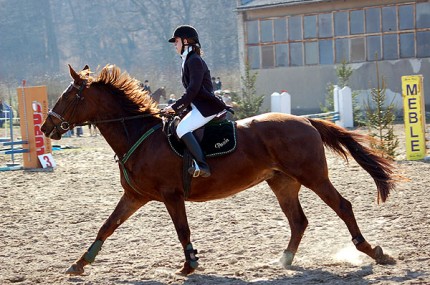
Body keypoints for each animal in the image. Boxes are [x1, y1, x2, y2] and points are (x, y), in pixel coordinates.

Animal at [42, 64, 394, 276]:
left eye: (69, 96)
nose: (47, 127)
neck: (138, 135)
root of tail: (305, 120)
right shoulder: (134, 196)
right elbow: (107, 226)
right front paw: (79, 264)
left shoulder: (171, 195)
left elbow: (182, 230)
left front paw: (189, 264)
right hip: (282, 183)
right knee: (298, 221)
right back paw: (284, 259)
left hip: (313, 176)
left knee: (342, 206)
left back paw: (375, 252)